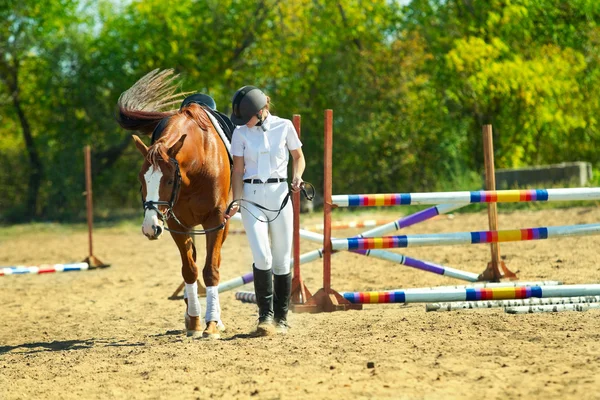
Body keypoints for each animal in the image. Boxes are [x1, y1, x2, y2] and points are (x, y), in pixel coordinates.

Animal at [116, 70, 230, 340]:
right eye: (141, 179)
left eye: (168, 179)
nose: (150, 228)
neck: (199, 161)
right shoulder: (179, 226)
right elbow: (190, 270)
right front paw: (195, 321)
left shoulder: (215, 221)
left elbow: (211, 269)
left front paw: (211, 324)